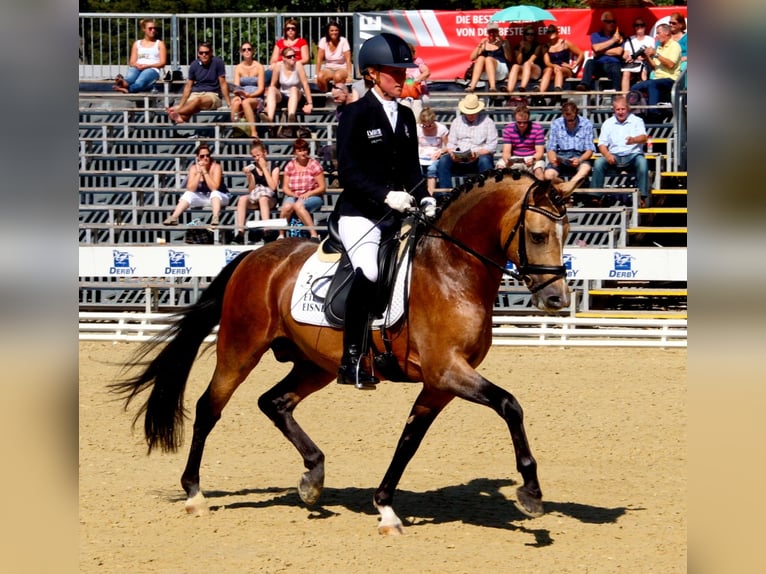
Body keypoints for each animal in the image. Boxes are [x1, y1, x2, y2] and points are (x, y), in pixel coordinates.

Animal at [113, 169, 575, 535]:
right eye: (537, 236)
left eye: (566, 234)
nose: (556, 300)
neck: (453, 269)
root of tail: (253, 255)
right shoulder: (447, 371)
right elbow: (510, 404)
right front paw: (531, 493)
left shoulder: (439, 383)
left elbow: (410, 439)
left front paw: (385, 508)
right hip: (240, 348)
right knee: (210, 407)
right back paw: (194, 493)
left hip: (315, 364)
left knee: (274, 402)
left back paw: (312, 476)